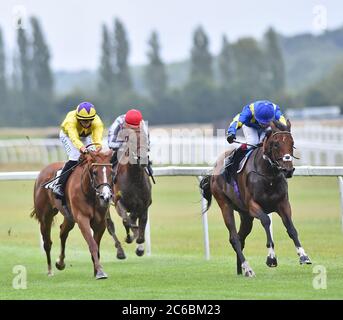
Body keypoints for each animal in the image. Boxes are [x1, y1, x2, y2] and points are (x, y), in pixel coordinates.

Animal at [31, 149, 122, 278]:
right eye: (95, 172)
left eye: (111, 172)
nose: (106, 196)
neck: (90, 193)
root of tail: (42, 172)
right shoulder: (82, 219)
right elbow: (92, 244)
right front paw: (99, 272)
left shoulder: (100, 223)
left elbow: (96, 246)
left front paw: (96, 270)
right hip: (45, 216)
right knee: (47, 242)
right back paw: (49, 270)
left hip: (69, 217)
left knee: (63, 232)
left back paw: (60, 263)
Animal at [111, 123, 153, 258]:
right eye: (132, 140)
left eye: (146, 138)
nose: (143, 158)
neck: (134, 178)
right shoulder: (118, 201)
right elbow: (126, 220)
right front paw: (130, 237)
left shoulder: (145, 203)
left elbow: (141, 220)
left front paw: (139, 246)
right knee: (110, 225)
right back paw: (120, 251)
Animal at [200, 120, 314, 278]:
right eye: (276, 144)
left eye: (292, 143)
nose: (288, 170)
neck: (268, 175)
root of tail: (214, 170)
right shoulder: (253, 206)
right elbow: (266, 221)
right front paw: (271, 258)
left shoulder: (283, 204)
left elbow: (291, 228)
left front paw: (303, 256)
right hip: (225, 205)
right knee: (234, 238)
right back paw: (248, 268)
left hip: (245, 216)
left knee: (240, 238)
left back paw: (240, 269)